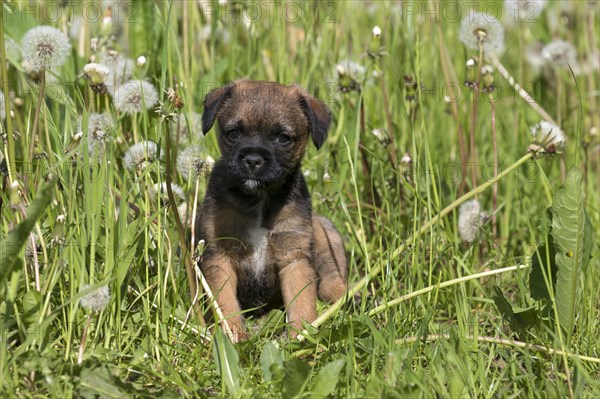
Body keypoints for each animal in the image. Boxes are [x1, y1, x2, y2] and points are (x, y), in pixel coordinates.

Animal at [197, 80, 346, 340]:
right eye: (234, 133)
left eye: (283, 138)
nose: (253, 159)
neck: (259, 200)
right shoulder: (219, 256)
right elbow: (226, 305)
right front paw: (233, 338)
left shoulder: (294, 258)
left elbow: (302, 305)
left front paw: (300, 339)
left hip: (326, 233)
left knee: (333, 281)